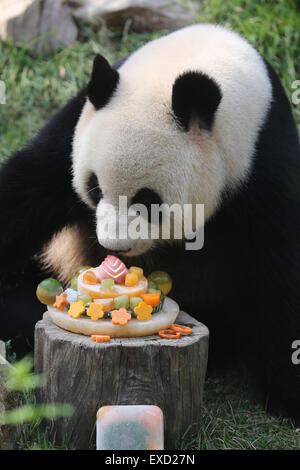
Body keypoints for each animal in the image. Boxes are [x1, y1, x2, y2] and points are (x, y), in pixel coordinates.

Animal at [0, 23, 300, 424]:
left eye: (148, 200)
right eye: (95, 188)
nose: (114, 247)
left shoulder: (262, 162)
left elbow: (278, 273)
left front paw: (288, 395)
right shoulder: (74, 128)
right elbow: (25, 189)